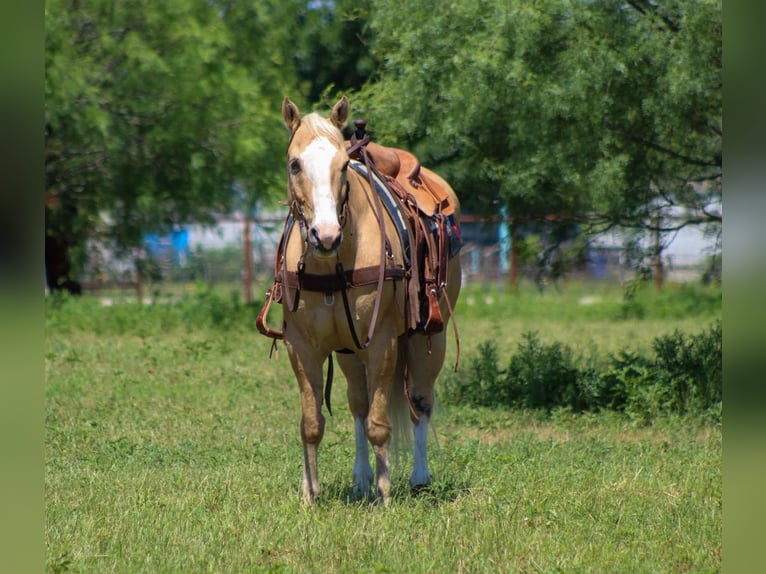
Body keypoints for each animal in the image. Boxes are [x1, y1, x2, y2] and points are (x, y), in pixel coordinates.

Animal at [269, 96, 461, 505]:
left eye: (343, 165)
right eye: (294, 164)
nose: (325, 236)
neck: (332, 263)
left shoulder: (383, 343)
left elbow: (379, 424)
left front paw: (384, 493)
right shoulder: (302, 347)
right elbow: (313, 423)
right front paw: (310, 493)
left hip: (428, 338)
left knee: (420, 402)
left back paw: (419, 476)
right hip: (348, 352)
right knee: (358, 403)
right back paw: (360, 478)